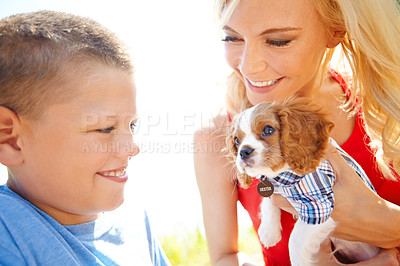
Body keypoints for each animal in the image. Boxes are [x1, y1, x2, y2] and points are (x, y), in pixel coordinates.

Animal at [227, 98, 380, 266]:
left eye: (267, 130)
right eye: (236, 140)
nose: (243, 151)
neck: (283, 175)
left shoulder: (321, 206)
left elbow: (295, 241)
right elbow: (268, 201)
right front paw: (268, 232)